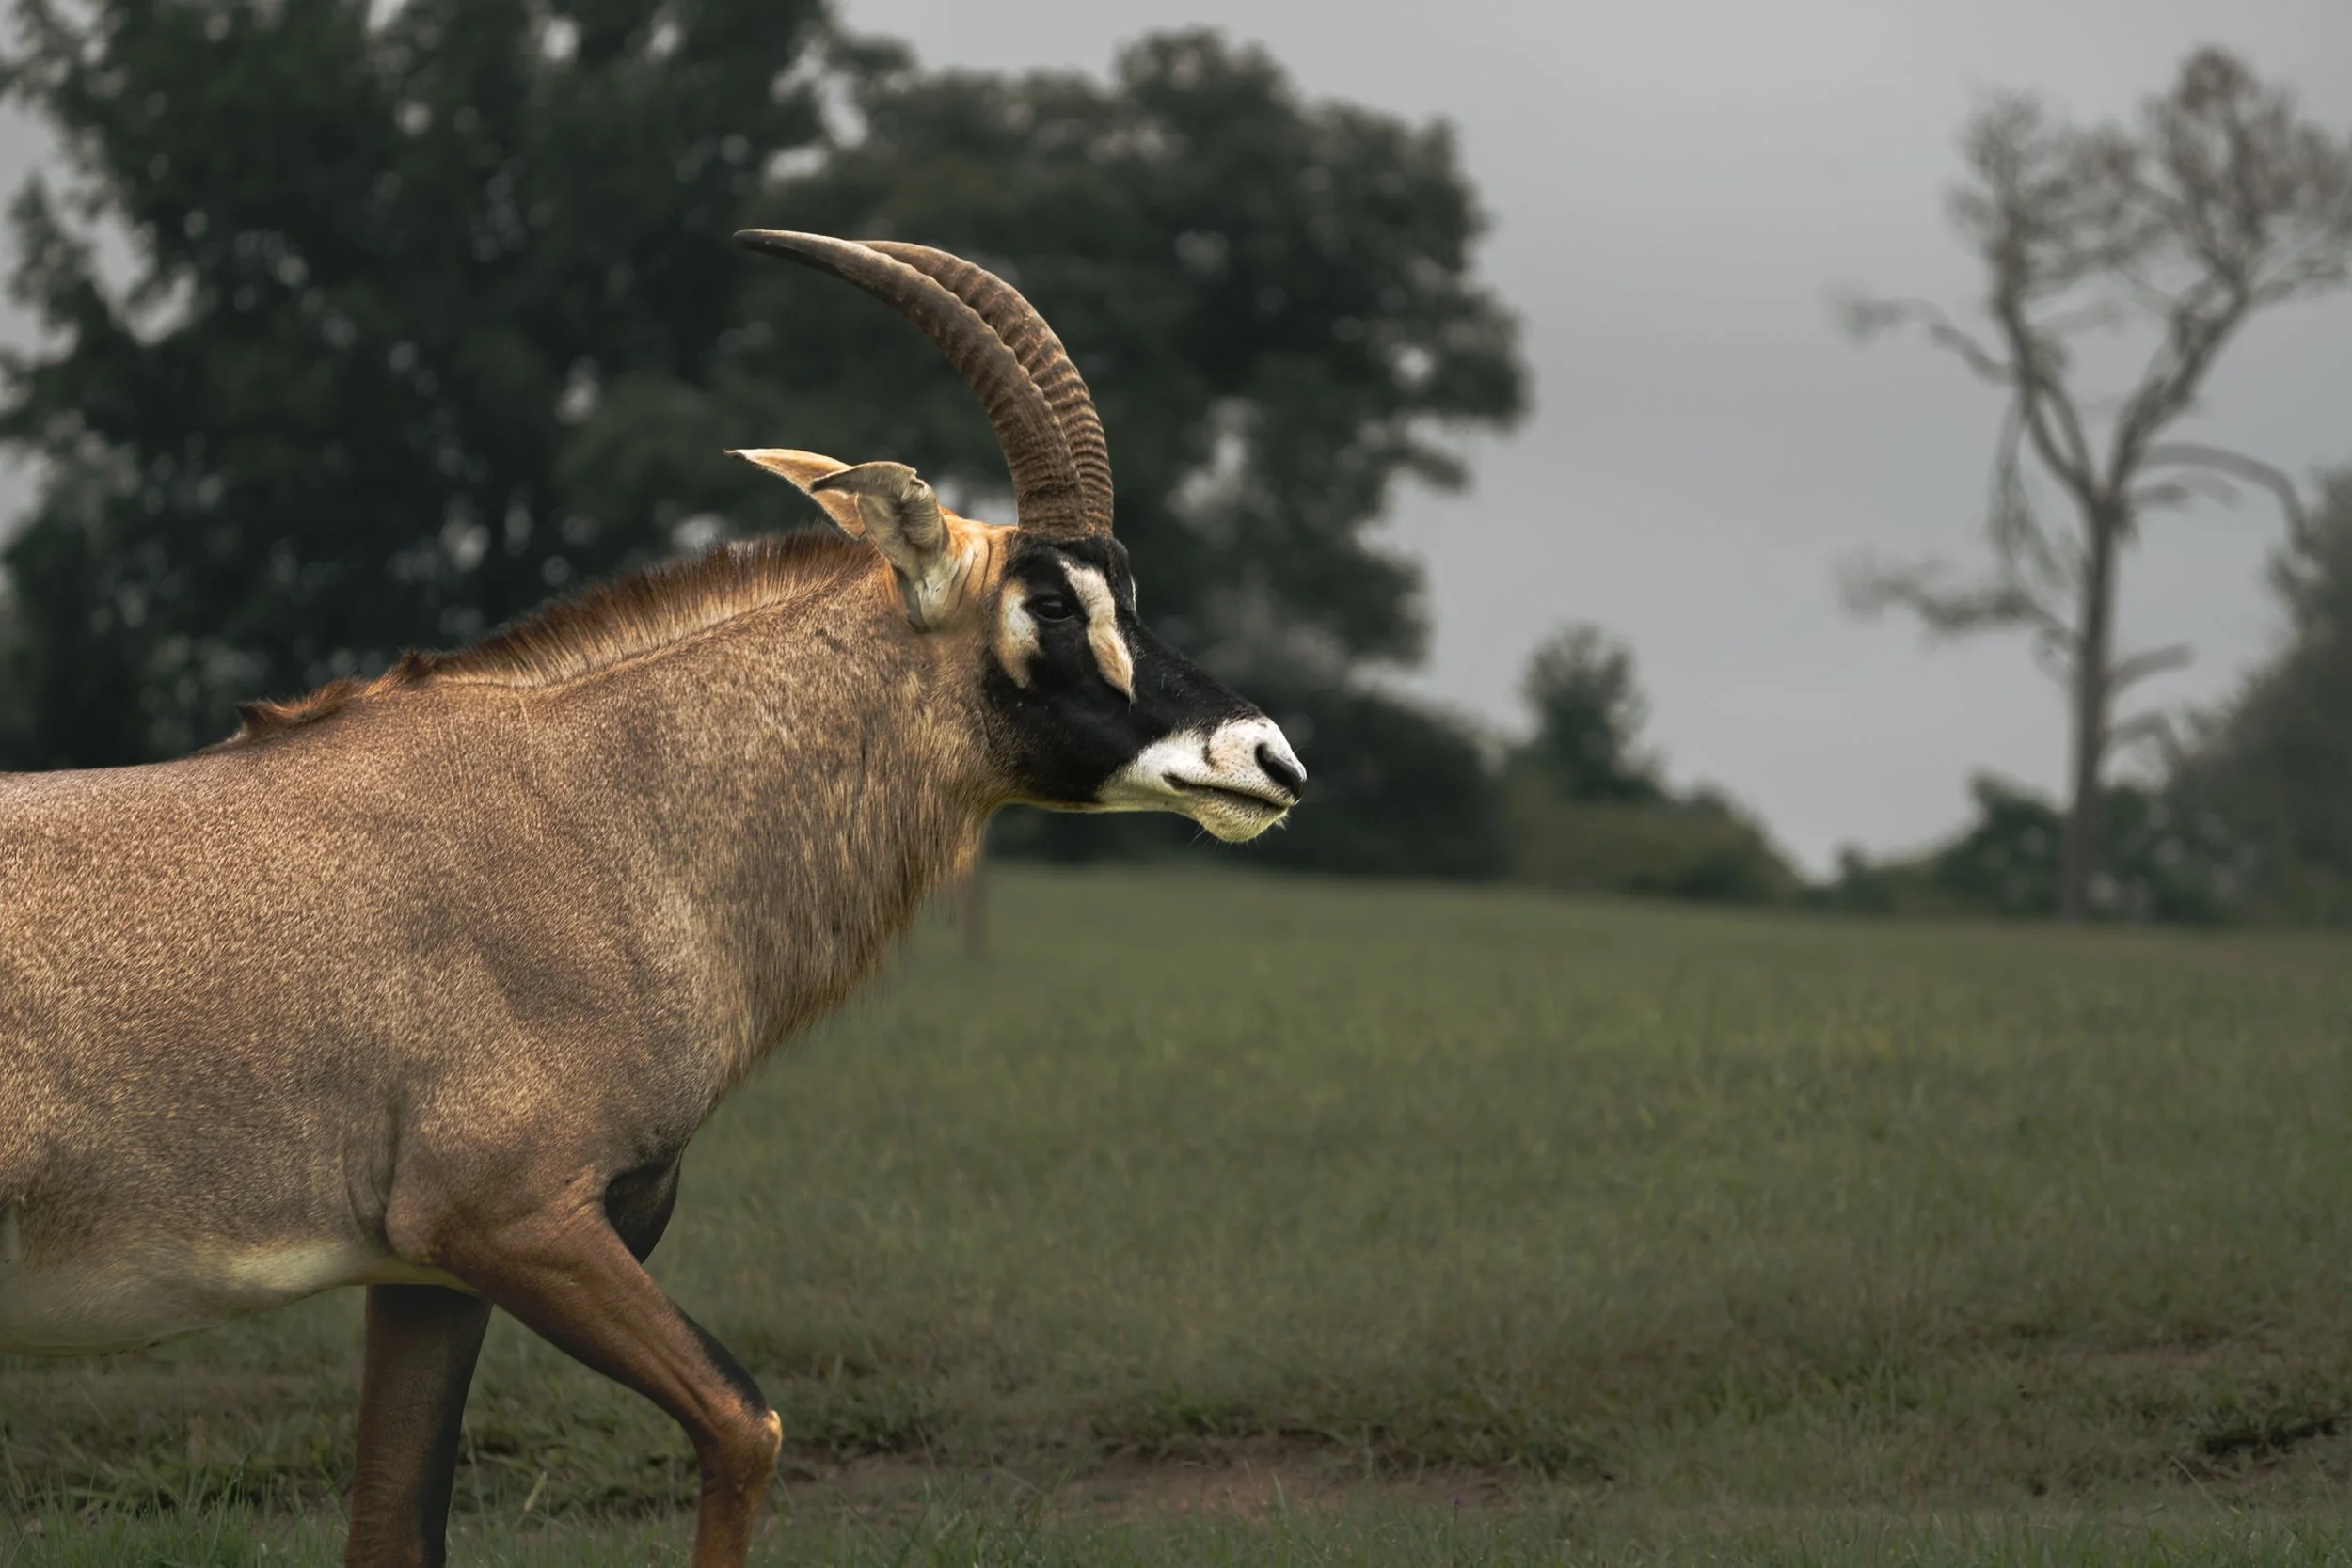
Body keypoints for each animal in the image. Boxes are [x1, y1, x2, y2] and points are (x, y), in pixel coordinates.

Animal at [0, 231, 1306, 1567]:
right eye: (1049, 600)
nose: (1268, 757)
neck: (602, 811)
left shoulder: (425, 1275)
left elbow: (395, 1528)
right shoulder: (509, 1220)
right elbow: (745, 1424)